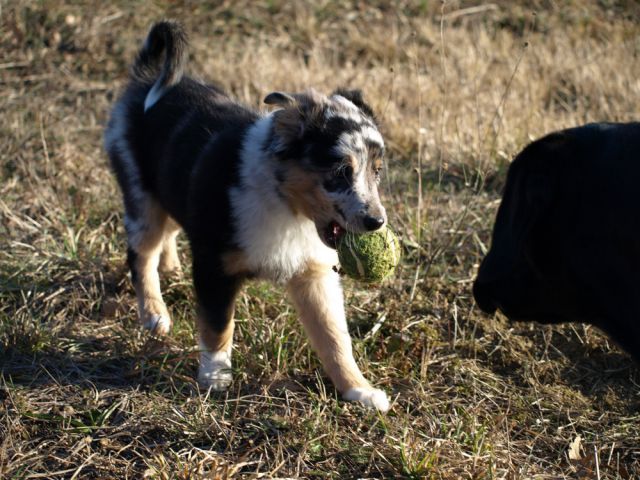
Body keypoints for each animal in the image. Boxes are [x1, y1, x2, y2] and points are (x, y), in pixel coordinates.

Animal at [105, 20, 390, 410]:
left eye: (377, 171)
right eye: (341, 171)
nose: (377, 222)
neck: (285, 206)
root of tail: (146, 78)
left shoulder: (315, 273)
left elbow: (334, 337)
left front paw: (359, 389)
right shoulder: (215, 266)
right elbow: (217, 325)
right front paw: (215, 378)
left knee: (169, 232)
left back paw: (171, 267)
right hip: (141, 194)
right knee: (141, 253)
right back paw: (154, 313)